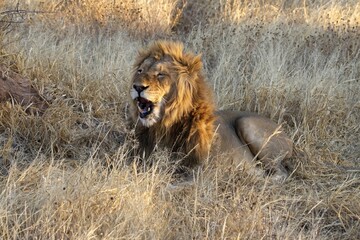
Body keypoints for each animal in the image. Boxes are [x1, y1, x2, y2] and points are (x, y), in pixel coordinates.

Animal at [129, 40, 292, 181]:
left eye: (161, 74)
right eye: (140, 71)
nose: (137, 87)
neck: (163, 125)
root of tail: (287, 135)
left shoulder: (201, 172)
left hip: (247, 124)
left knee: (281, 173)